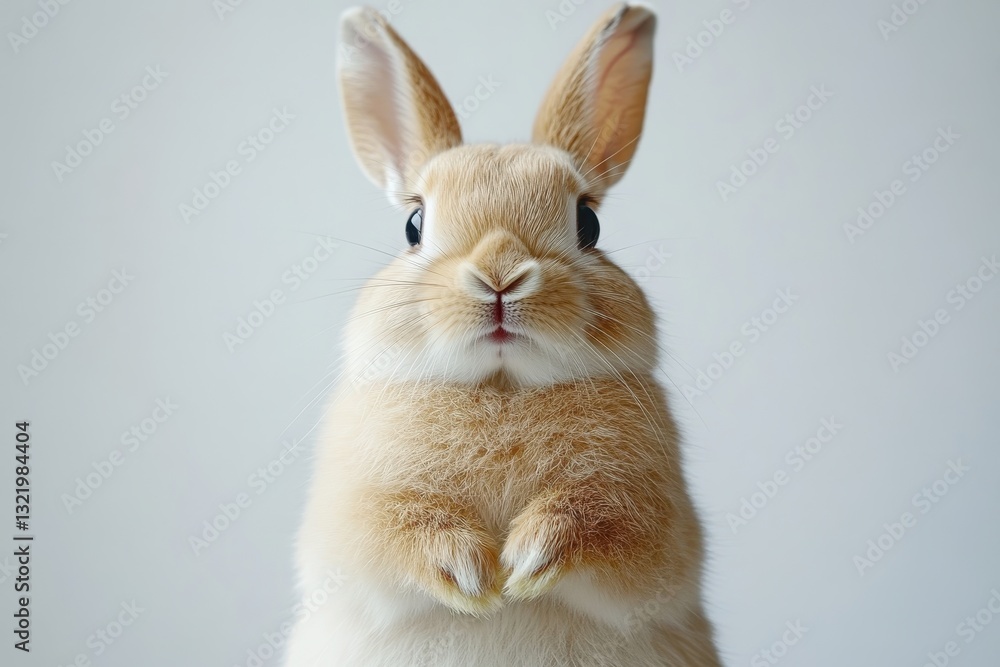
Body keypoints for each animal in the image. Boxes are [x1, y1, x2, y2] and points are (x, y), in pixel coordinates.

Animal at [283, 3, 722, 666]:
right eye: (413, 225)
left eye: (588, 223)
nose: (499, 275)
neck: (502, 387)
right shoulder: (352, 523)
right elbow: (395, 529)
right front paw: (474, 576)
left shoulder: (655, 525)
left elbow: (604, 522)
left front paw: (525, 562)